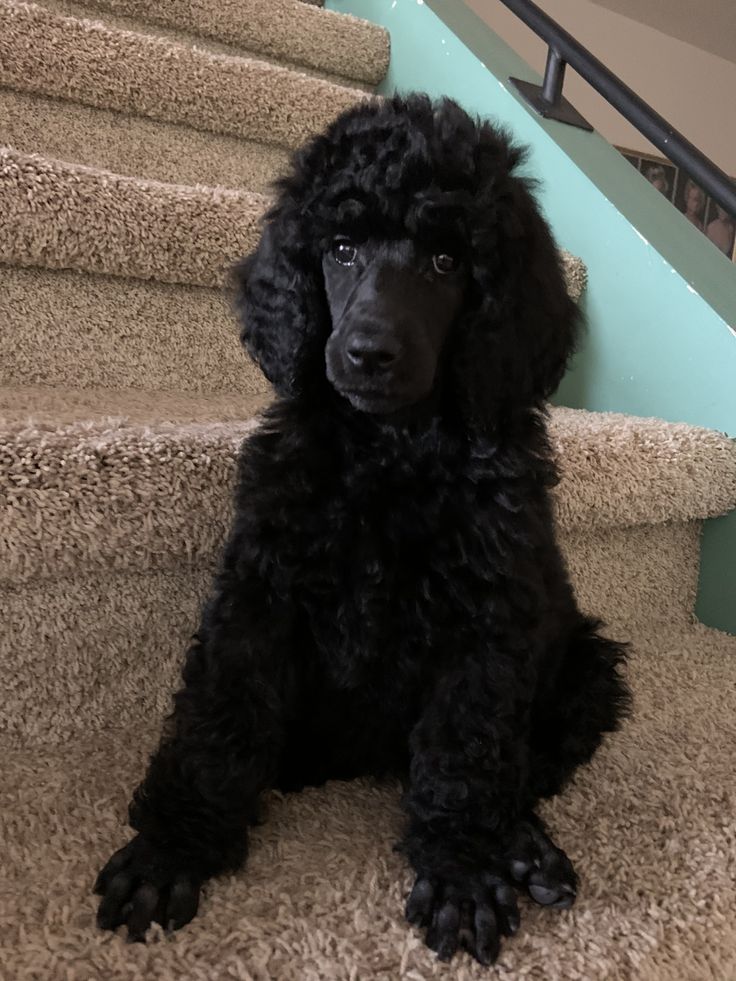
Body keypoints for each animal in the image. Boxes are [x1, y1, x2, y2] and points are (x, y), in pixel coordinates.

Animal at [95, 94, 628, 964]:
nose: (369, 352)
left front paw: (461, 869)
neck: (391, 452)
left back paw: (520, 846)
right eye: (340, 250)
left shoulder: (488, 625)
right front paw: (173, 846)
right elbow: (220, 717)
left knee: (514, 764)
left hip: (588, 667)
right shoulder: (259, 592)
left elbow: (464, 749)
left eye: (447, 263)